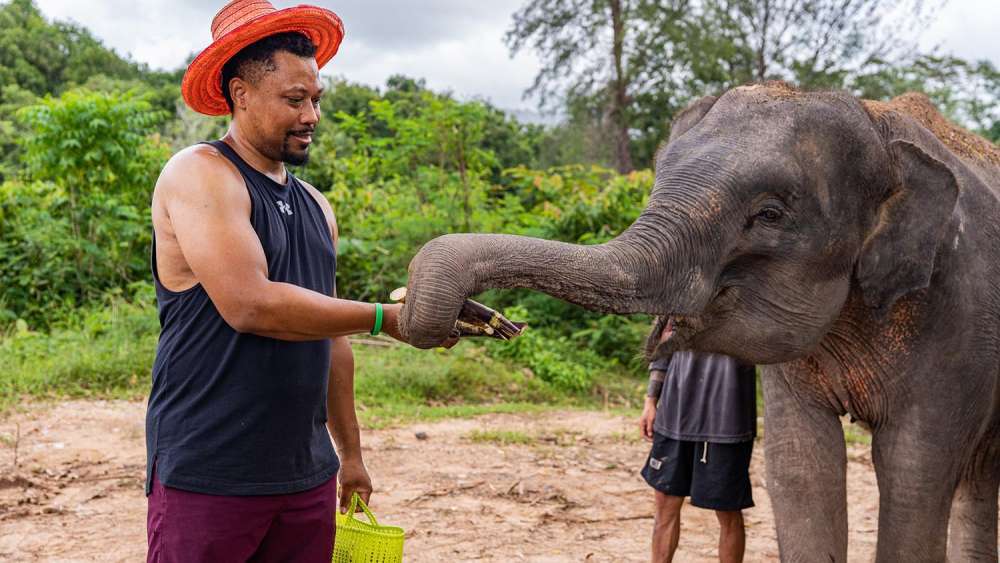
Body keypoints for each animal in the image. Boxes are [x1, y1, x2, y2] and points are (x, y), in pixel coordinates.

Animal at [394, 81, 996, 560]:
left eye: (770, 214)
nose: (480, 319)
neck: (878, 124)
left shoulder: (961, 324)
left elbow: (914, 473)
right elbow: (800, 467)